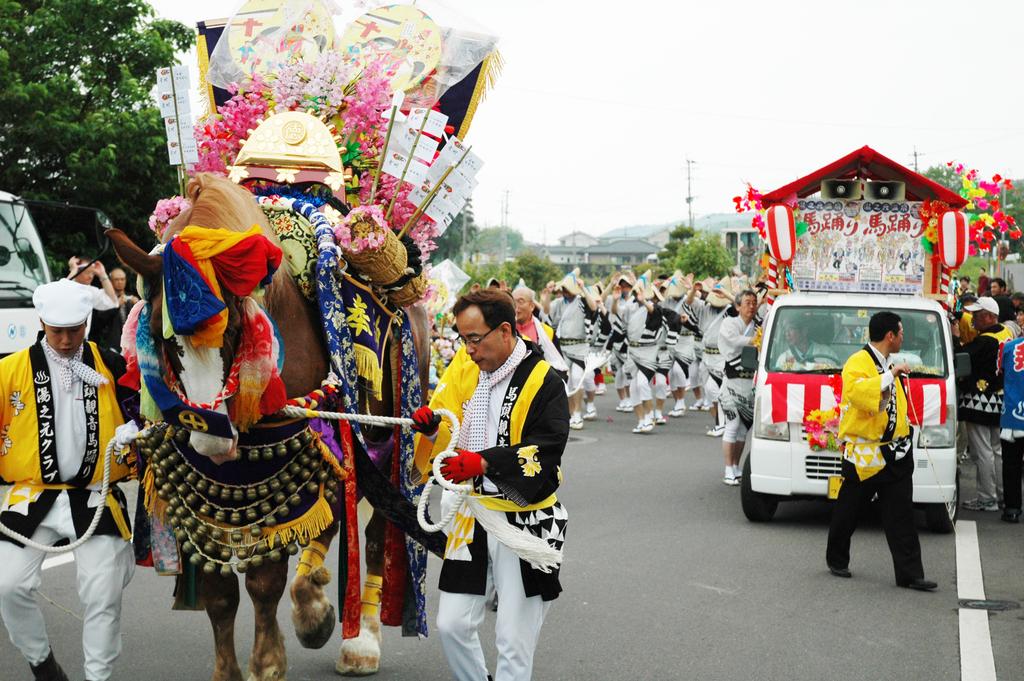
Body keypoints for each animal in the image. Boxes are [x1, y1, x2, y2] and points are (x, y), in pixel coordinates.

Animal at [109, 173, 448, 675]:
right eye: (161, 336)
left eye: (233, 330)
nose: (211, 438)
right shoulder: (207, 471)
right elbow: (219, 592)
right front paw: (229, 670)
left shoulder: (290, 449)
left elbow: (263, 580)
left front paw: (267, 662)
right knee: (332, 517)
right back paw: (314, 603)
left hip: (389, 430)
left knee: (373, 533)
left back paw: (359, 639)